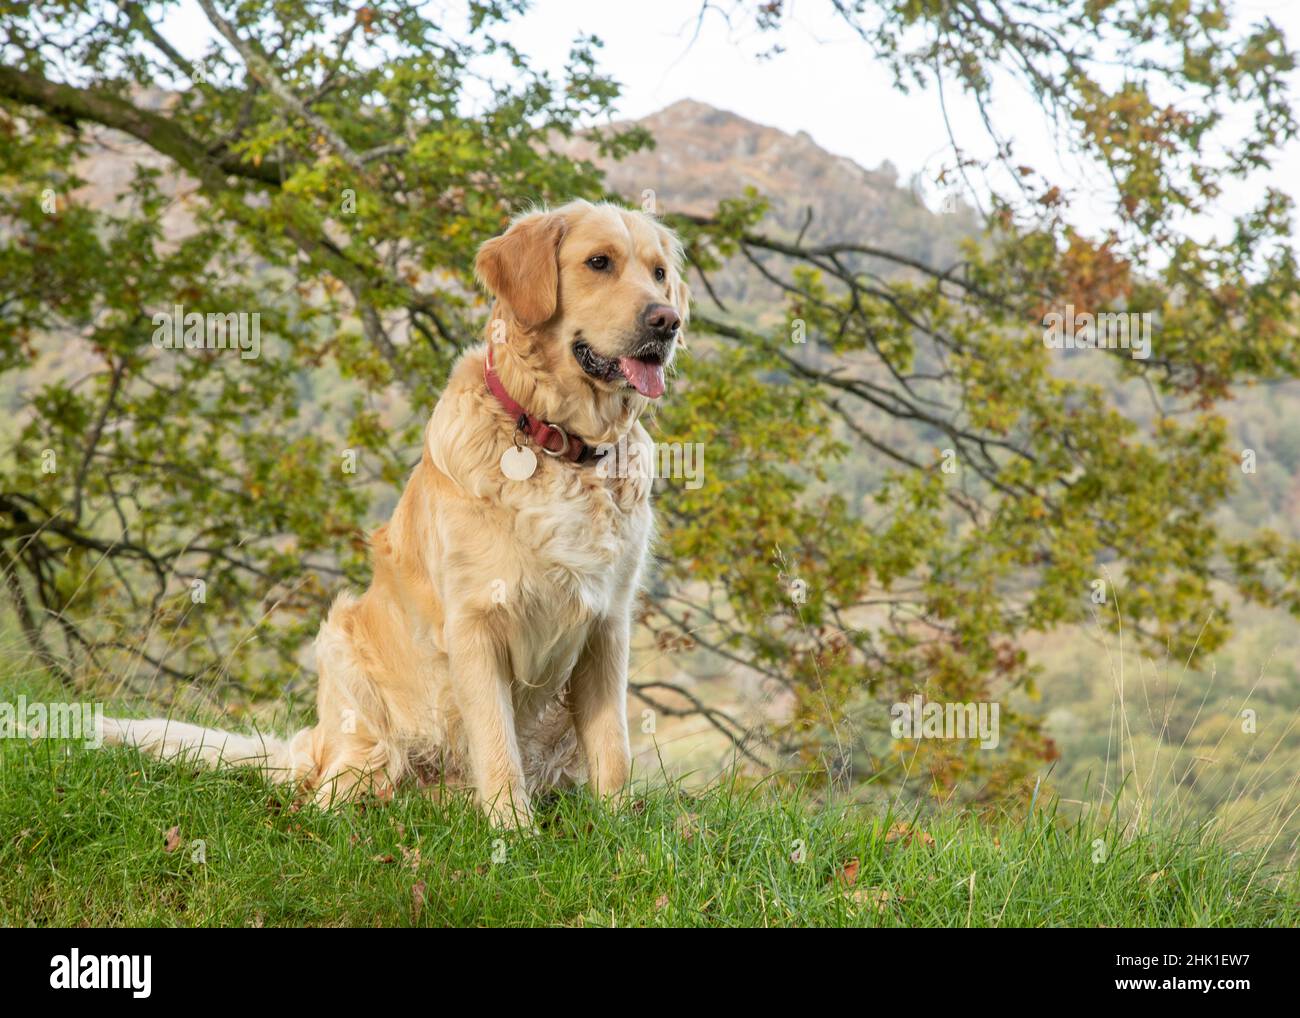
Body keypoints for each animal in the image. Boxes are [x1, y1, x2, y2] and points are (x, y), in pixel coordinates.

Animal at [104, 201, 691, 826]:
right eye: (598, 262)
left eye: (658, 273)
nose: (668, 322)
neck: (557, 442)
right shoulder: (474, 621)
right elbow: (497, 745)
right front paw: (515, 833)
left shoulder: (608, 621)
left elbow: (613, 748)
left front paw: (617, 826)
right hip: (344, 659)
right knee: (330, 792)